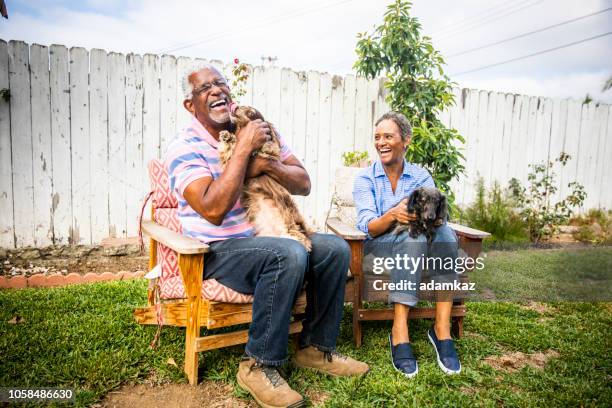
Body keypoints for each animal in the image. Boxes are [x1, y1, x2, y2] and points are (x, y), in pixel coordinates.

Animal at [219, 105, 314, 252]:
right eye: (243, 106)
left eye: (251, 112)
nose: (236, 107)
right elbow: (231, 150)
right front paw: (228, 137)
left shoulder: (268, 153)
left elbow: (265, 148)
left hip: (290, 222)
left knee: (299, 235)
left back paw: (304, 243)